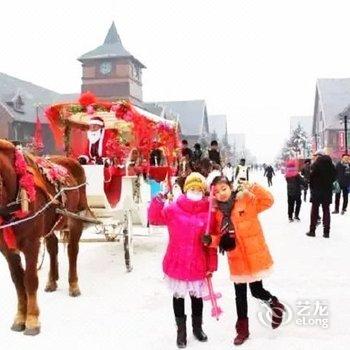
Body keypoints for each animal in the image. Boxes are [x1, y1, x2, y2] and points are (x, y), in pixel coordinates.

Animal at [0, 139, 89, 334]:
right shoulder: (7, 249)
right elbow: (18, 281)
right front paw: (20, 317)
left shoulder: (32, 244)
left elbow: (30, 279)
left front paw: (32, 320)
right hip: (49, 226)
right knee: (53, 248)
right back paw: (52, 281)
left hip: (76, 218)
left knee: (72, 251)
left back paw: (73, 285)